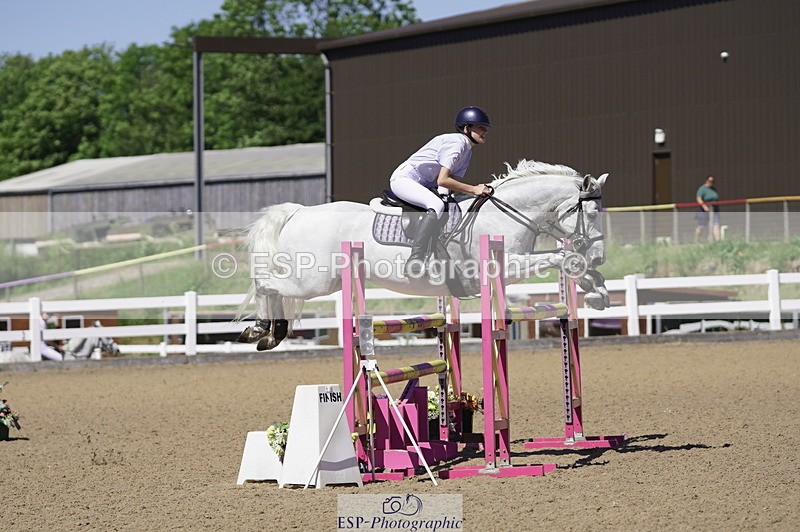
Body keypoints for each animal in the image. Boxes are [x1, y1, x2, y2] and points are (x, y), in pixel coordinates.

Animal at [237, 159, 610, 350]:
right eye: (592, 214)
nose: (600, 256)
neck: (505, 213)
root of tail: (299, 211)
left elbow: (568, 261)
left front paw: (597, 290)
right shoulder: (499, 267)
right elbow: (562, 258)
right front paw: (590, 282)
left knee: (270, 285)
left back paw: (267, 333)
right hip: (314, 282)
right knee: (266, 283)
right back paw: (263, 331)